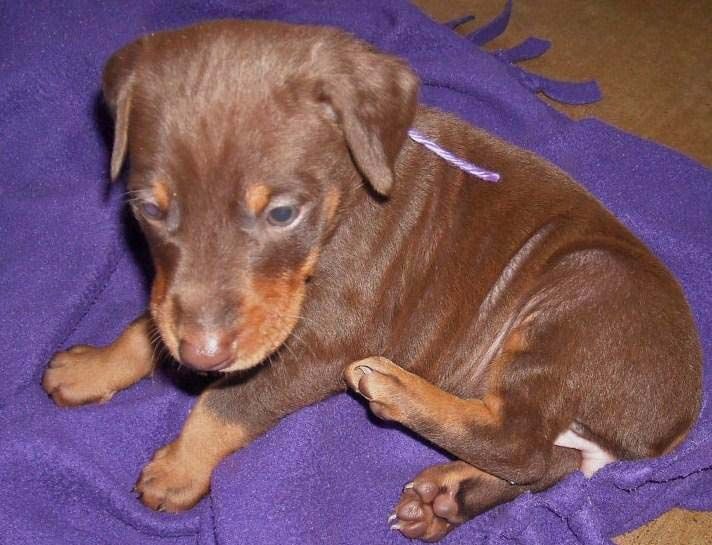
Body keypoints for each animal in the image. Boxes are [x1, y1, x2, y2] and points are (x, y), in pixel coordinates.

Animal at [41, 18, 704, 540]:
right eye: (149, 209)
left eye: (282, 213)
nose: (202, 354)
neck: (350, 193)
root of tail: (674, 427)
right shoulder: (183, 296)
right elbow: (150, 323)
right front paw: (91, 367)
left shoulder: (321, 346)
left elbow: (225, 404)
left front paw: (178, 469)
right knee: (547, 463)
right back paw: (445, 499)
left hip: (577, 301)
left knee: (520, 440)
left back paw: (395, 391)